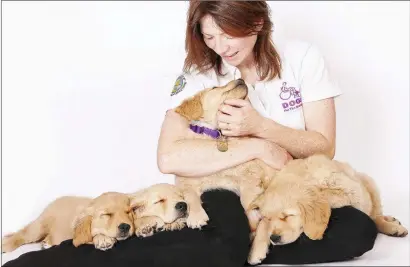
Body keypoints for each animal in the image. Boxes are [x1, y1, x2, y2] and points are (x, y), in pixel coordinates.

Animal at [1, 193, 133, 253]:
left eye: (128, 212)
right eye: (107, 214)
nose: (125, 226)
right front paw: (103, 238)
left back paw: (47, 243)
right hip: (39, 227)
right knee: (22, 234)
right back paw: (5, 244)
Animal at [171, 78, 280, 231]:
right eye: (214, 87)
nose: (241, 79)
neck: (217, 134)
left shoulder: (251, 171)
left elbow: (247, 196)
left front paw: (254, 212)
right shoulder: (184, 180)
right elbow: (189, 195)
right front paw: (196, 217)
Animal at [245, 154, 408, 264]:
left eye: (288, 216)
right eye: (268, 218)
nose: (274, 238)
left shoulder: (351, 191)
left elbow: (323, 194)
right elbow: (262, 224)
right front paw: (256, 250)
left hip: (368, 183)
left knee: (375, 217)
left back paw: (393, 227)